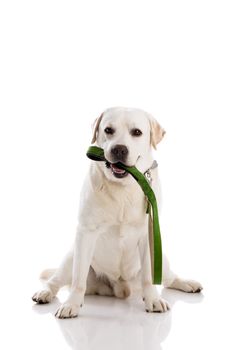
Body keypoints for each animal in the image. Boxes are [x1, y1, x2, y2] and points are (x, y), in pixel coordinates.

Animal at [31, 108, 203, 318]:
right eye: (108, 130)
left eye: (137, 132)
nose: (119, 149)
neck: (123, 188)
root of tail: (121, 289)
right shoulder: (85, 233)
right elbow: (78, 279)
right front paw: (71, 304)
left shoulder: (148, 233)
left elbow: (148, 277)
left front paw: (153, 300)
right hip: (71, 257)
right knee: (57, 280)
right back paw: (45, 293)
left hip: (162, 258)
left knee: (169, 279)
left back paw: (188, 283)